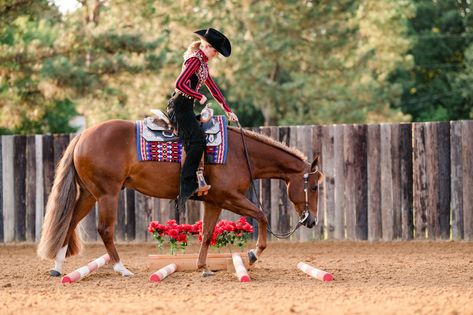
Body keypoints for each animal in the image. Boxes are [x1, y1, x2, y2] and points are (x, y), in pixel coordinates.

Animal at [37, 119, 324, 278]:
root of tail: (83, 135)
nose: (311, 221)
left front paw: (203, 267)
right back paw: (121, 268)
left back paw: (58, 267)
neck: (241, 153)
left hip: (89, 194)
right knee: (105, 230)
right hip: (108, 194)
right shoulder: (229, 196)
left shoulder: (214, 201)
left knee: (70, 222)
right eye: (313, 187)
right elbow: (261, 215)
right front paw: (253, 254)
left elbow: (207, 233)